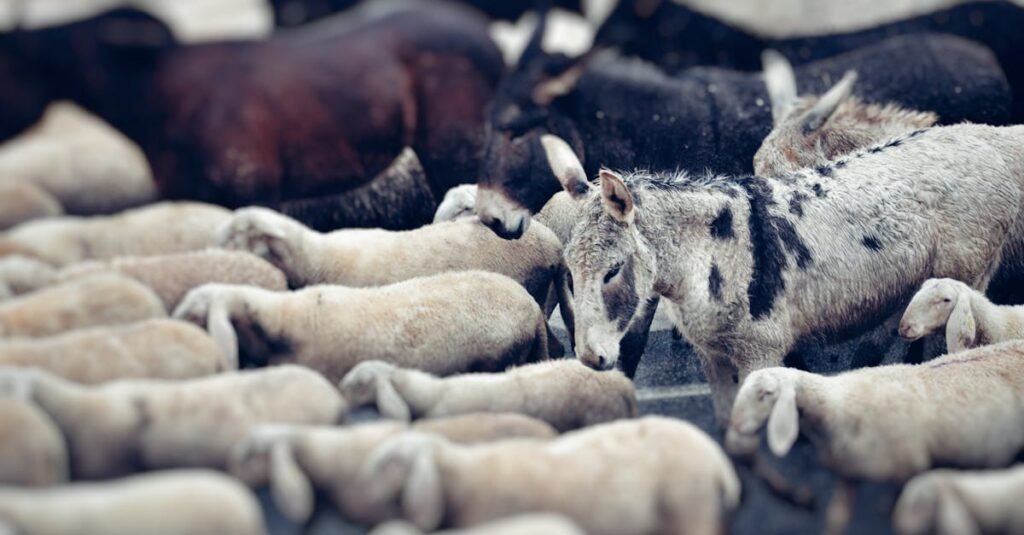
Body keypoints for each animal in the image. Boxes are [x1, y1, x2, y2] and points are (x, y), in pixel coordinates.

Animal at [547, 121, 1024, 423]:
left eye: (612, 271)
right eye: (569, 269)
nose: (589, 358)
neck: (715, 251)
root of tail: (989, 136)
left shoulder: (759, 352)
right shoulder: (712, 353)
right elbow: (725, 422)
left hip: (967, 273)